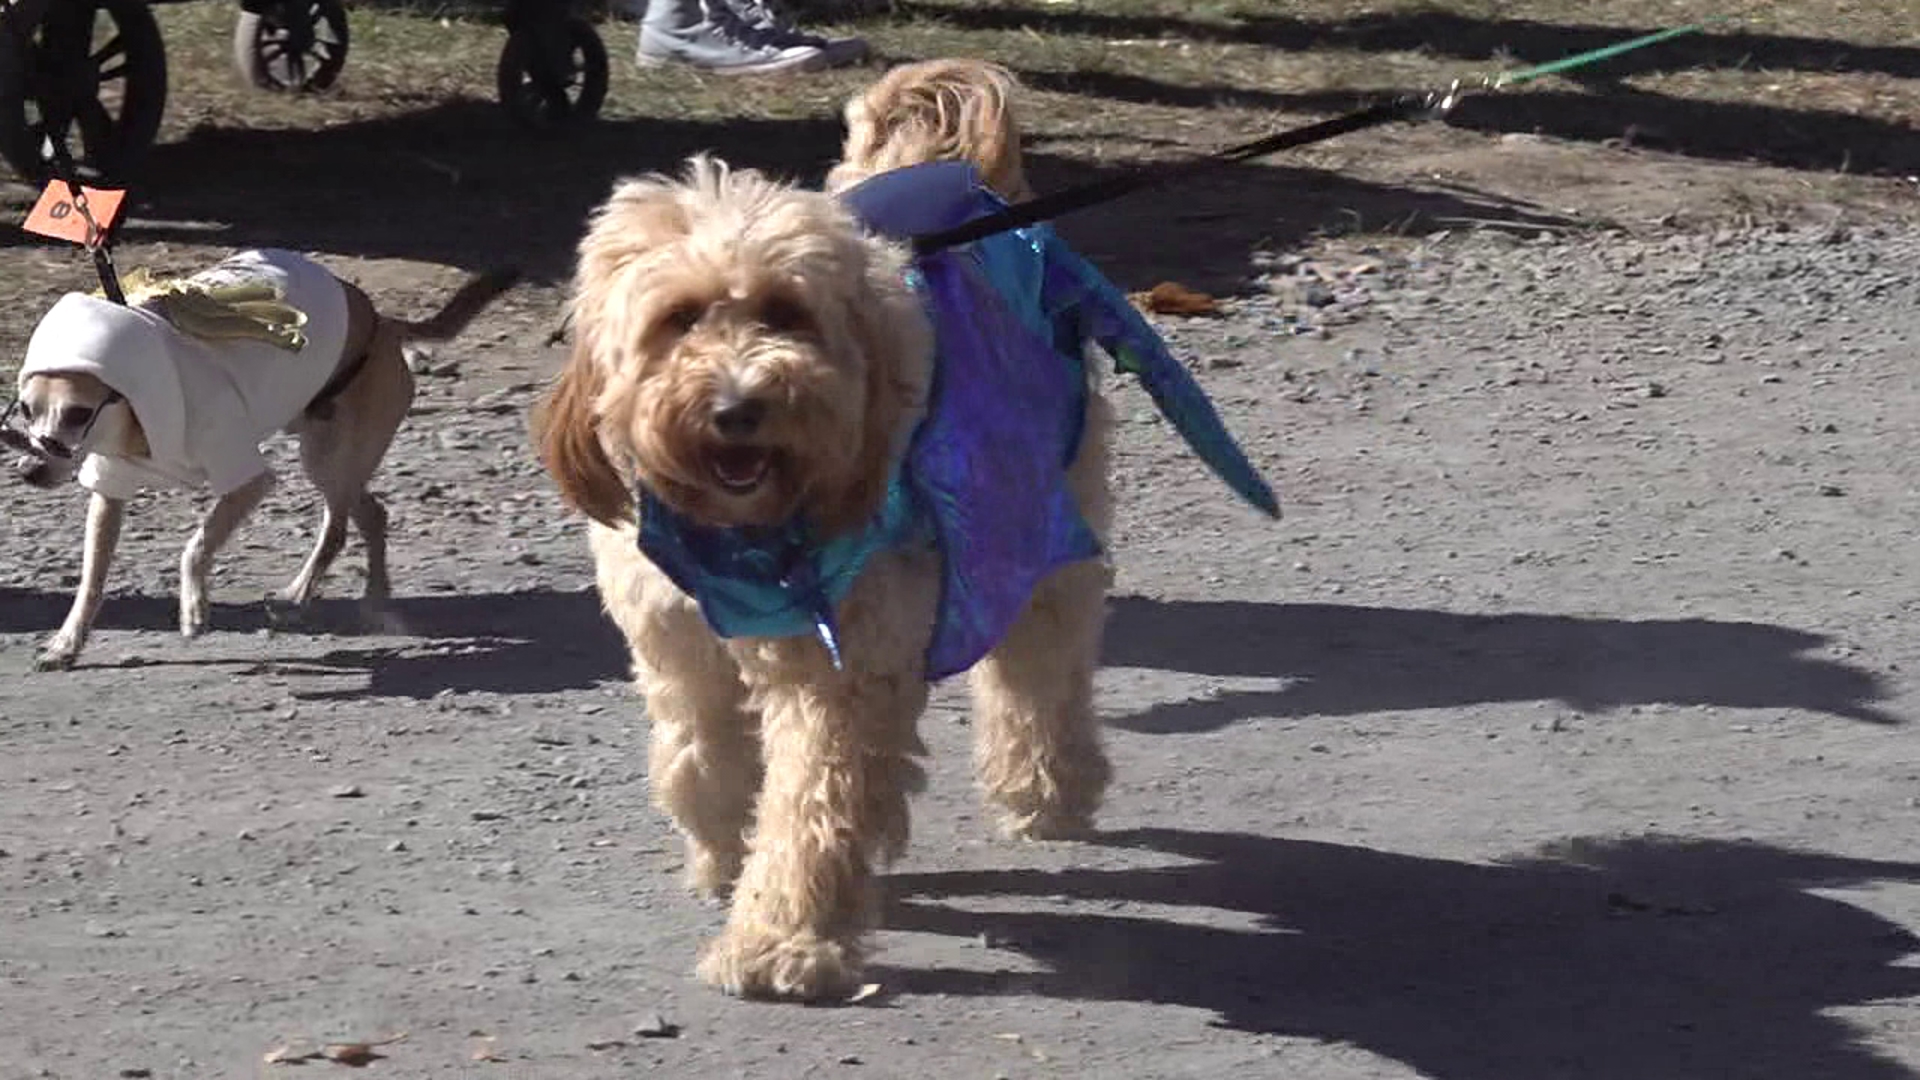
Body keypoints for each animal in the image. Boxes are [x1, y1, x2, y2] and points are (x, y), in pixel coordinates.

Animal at [7, 245, 518, 664]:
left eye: (79, 414)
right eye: (26, 410)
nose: (30, 468)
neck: (132, 420)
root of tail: (383, 326)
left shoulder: (248, 480)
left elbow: (196, 546)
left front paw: (194, 607)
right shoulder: (109, 493)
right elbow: (91, 581)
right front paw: (67, 643)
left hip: (328, 459)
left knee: (337, 530)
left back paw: (301, 595)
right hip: (330, 460)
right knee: (373, 514)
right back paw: (372, 597)